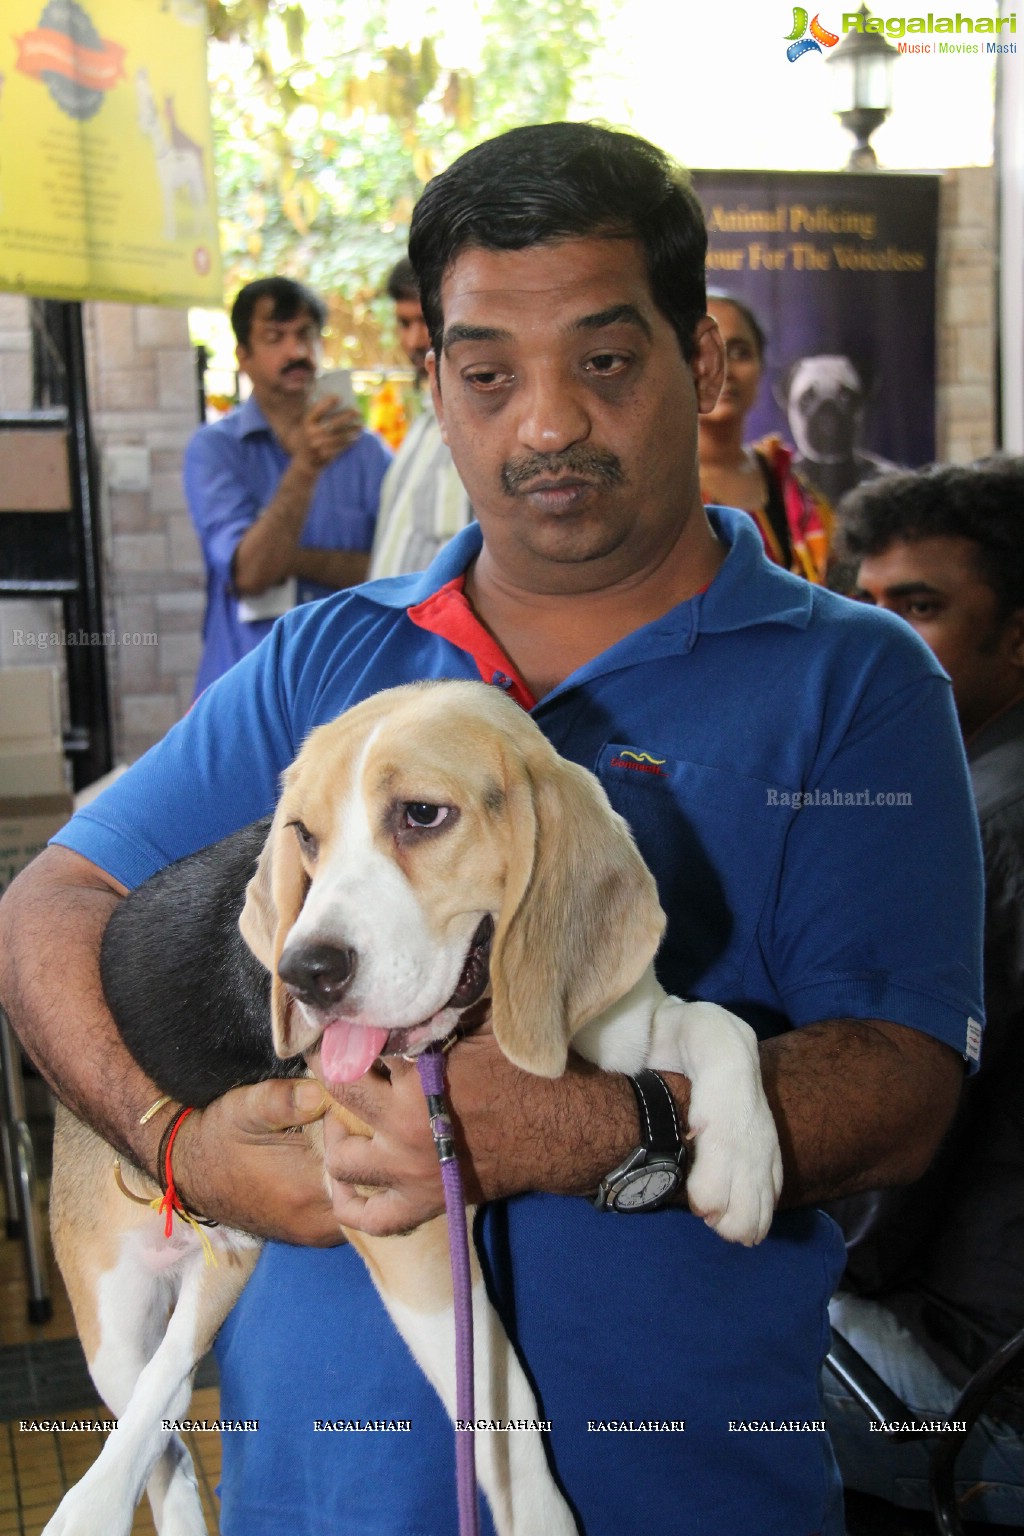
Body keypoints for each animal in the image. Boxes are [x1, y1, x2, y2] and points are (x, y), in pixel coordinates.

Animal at [42, 681, 786, 1536]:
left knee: (169, 1406)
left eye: (422, 815)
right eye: (304, 835)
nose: (304, 973)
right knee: (151, 1419)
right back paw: (94, 1503)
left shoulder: (623, 1027)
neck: (482, 1020)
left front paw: (744, 1164)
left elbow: (724, 1024)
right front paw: (540, 1517)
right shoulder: (414, 1233)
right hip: (112, 1321)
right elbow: (504, 1411)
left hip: (225, 1265)